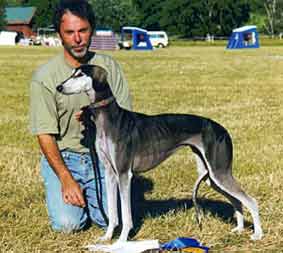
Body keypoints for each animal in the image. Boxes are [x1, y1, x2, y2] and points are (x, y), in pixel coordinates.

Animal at [57, 64, 264, 241]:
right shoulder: (109, 173)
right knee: (237, 201)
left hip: (219, 172)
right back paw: (239, 229)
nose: (59, 87)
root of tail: (223, 130)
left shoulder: (124, 174)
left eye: (80, 74)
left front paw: (121, 242)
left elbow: (125, 215)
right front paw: (107, 238)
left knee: (251, 201)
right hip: (212, 177)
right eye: (72, 73)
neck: (109, 119)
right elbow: (113, 213)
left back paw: (257, 234)